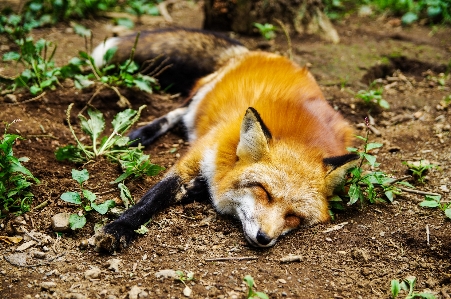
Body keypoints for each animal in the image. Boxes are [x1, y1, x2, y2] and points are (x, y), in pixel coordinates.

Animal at [92, 28, 360, 253]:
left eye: (294, 216)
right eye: (264, 192)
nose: (264, 238)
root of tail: (258, 52)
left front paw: (197, 188)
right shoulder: (198, 153)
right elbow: (152, 198)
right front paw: (119, 228)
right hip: (201, 94)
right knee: (180, 111)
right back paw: (140, 135)